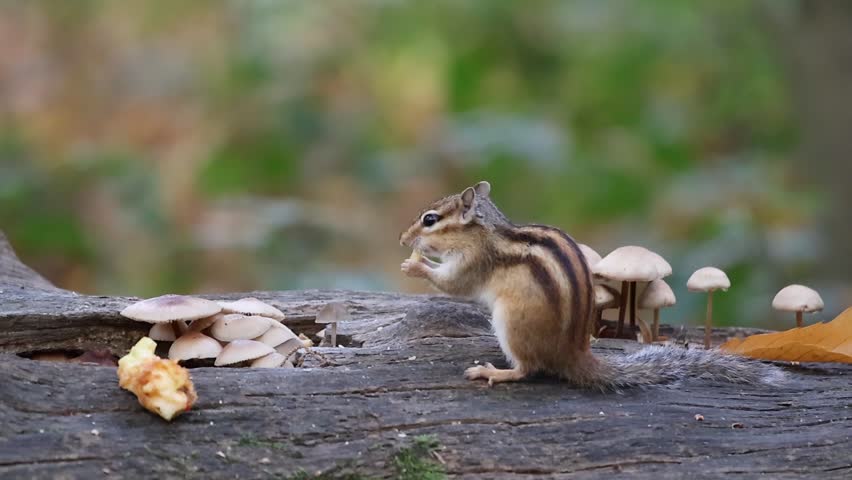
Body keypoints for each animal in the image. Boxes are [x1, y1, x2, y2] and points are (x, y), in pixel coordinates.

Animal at [399, 181, 785, 391]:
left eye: (430, 220)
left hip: (511, 323)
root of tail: (573, 354)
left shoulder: (473, 263)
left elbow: (453, 284)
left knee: (528, 369)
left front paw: (415, 265)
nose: (402, 239)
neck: (485, 231)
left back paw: (494, 371)